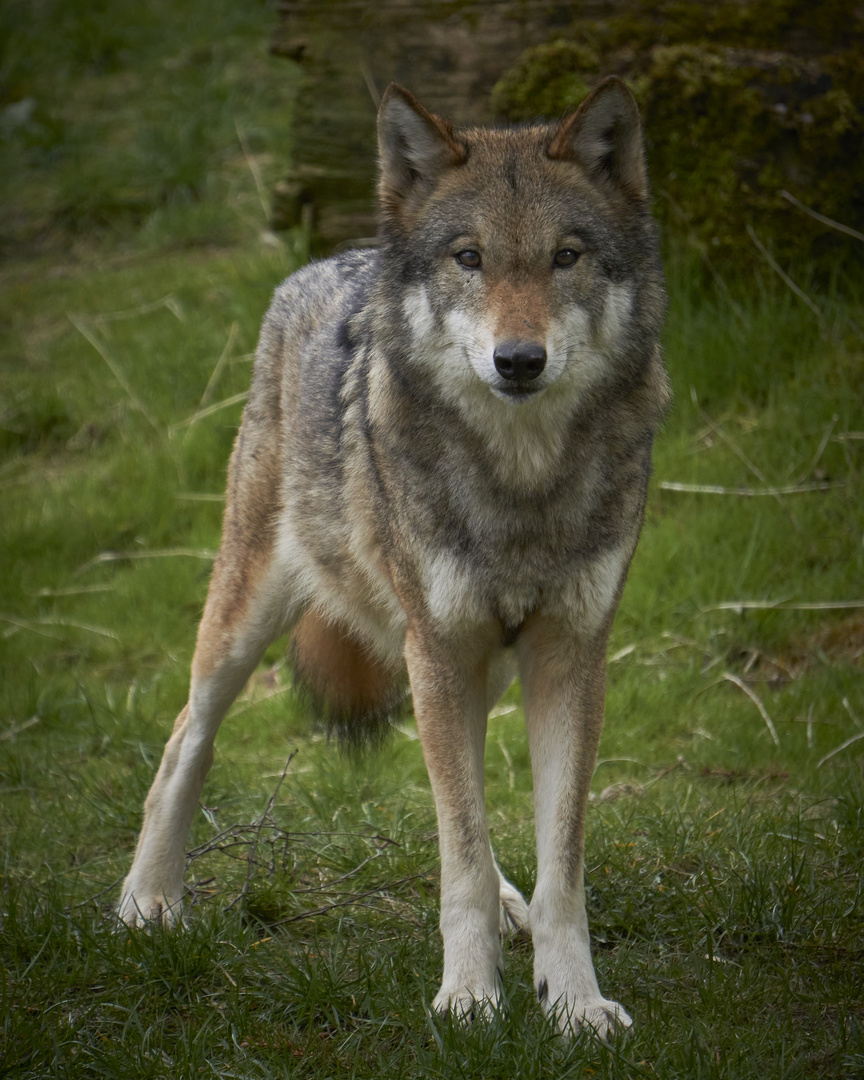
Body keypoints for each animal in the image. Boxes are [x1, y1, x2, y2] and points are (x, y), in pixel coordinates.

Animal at [116, 76, 669, 1036]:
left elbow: (554, 864)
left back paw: (513, 911)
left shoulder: (568, 655)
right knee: (187, 737)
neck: (520, 484)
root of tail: (329, 261)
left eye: (565, 256)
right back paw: (146, 902)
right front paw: (470, 998)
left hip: (468, 663)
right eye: (469, 258)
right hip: (256, 620)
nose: (518, 360)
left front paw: (573, 1003)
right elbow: (460, 851)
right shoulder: (439, 648)